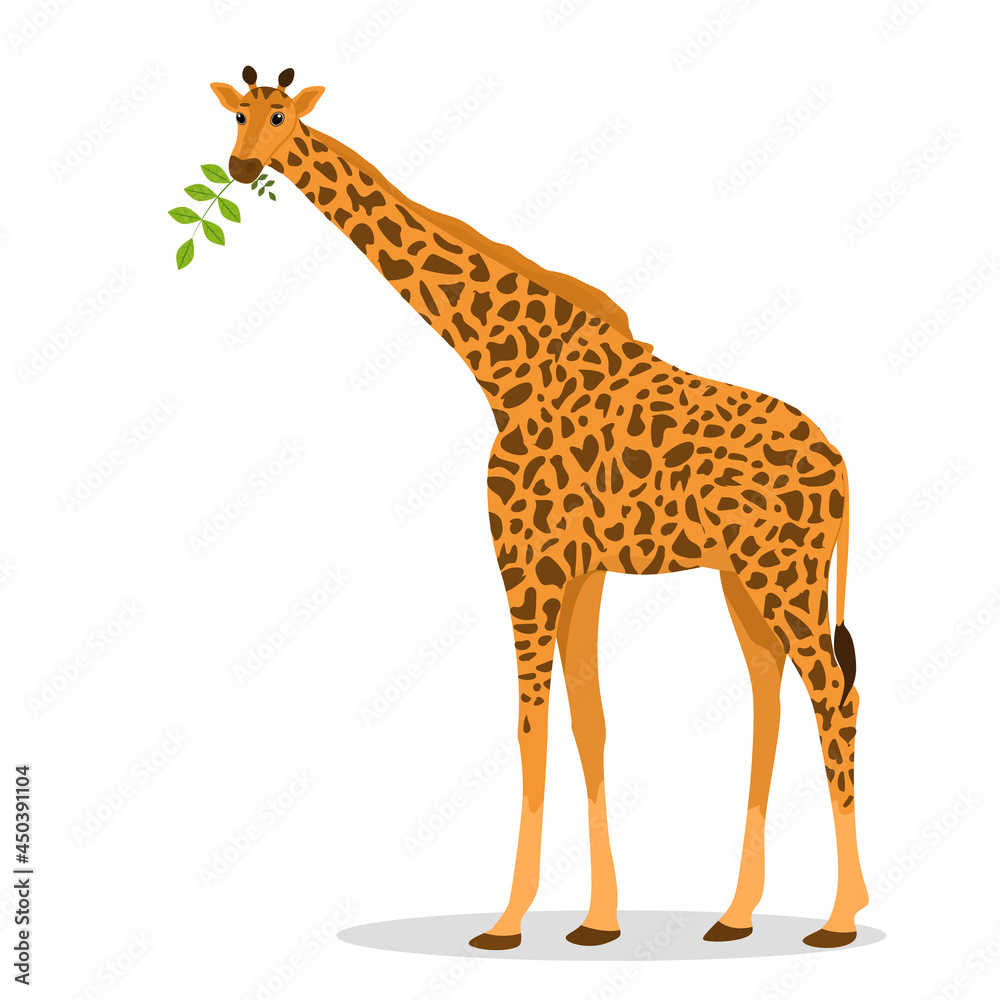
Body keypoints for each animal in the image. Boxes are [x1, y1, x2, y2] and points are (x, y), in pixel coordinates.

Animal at [209, 67, 868, 951]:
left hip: (785, 572)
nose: (244, 167)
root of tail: (842, 466)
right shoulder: (579, 569)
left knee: (834, 693)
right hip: (744, 575)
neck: (503, 370)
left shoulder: (528, 564)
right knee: (773, 688)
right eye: (237, 119)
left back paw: (840, 917)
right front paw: (597, 920)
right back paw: (736, 913)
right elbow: (589, 721)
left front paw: (508, 920)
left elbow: (530, 725)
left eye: (280, 115)